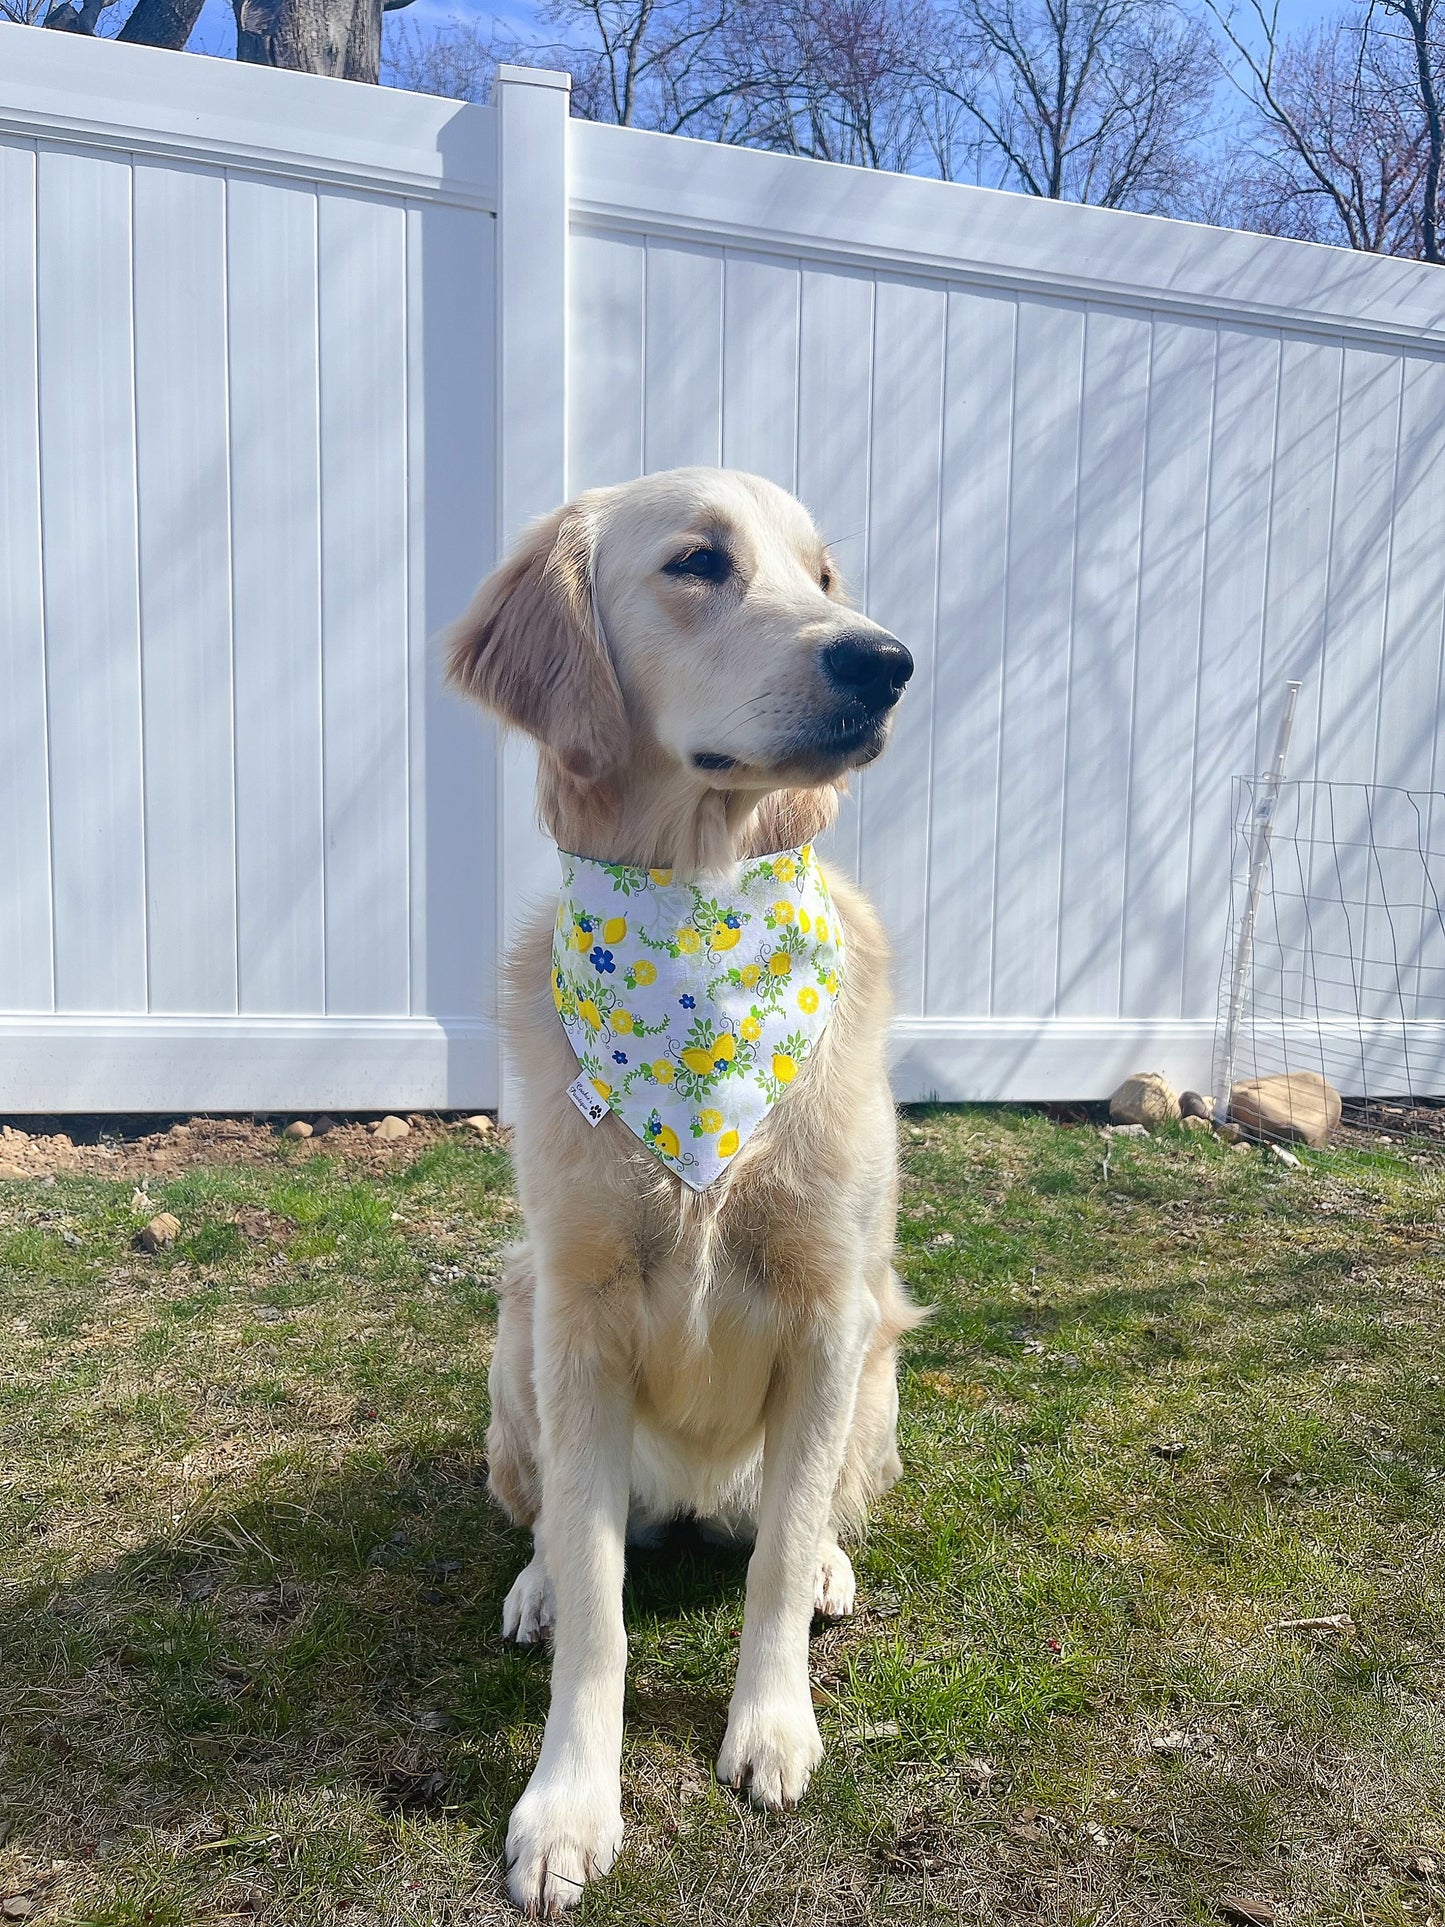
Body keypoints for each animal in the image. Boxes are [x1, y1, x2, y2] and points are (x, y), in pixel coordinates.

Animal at [446, 462, 928, 1911]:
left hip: (882, 1367)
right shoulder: (581, 1314)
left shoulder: (831, 1308)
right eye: (698, 563)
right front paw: (565, 1805)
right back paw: (538, 1582)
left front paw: (771, 1726)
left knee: (802, 1512)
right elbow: (601, 1609)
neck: (699, 925)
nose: (885, 660)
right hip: (513, 1338)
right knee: (555, 1525)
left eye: (823, 576)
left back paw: (823, 1558)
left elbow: (770, 1560)